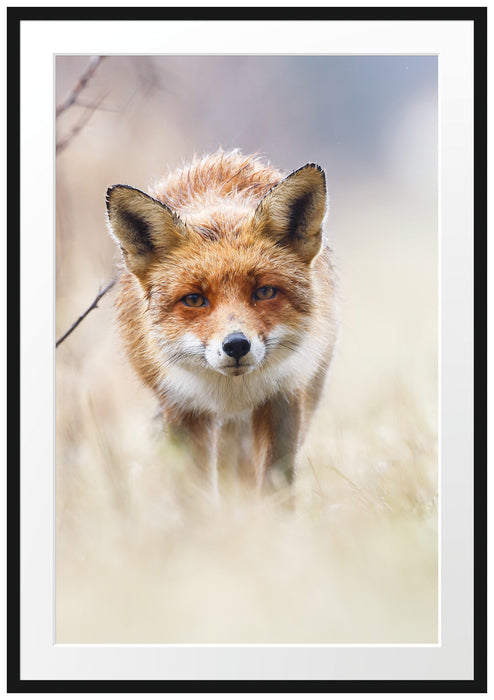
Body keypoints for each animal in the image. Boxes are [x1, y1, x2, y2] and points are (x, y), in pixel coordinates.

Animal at [106, 149, 338, 494]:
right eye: (193, 299)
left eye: (264, 292)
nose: (237, 345)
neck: (232, 393)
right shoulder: (182, 408)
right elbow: (194, 493)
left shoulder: (283, 397)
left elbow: (275, 486)